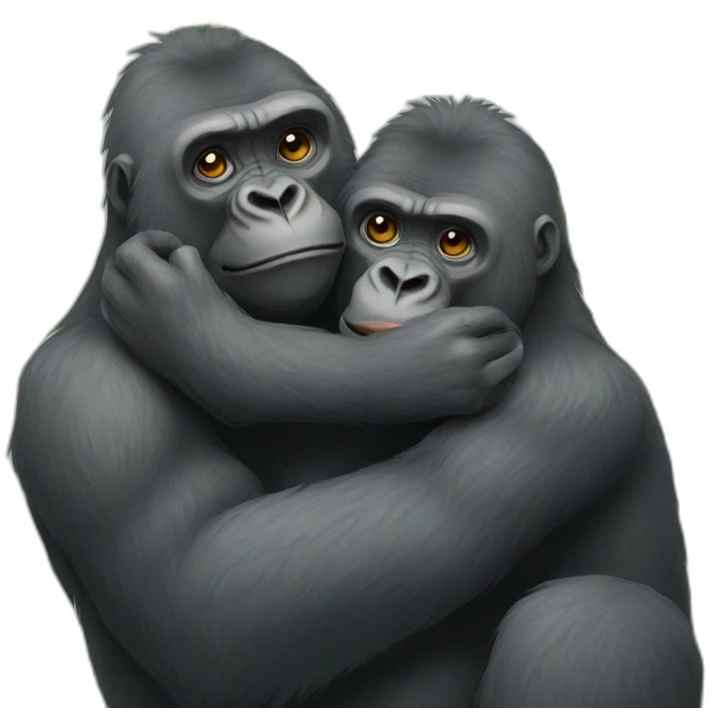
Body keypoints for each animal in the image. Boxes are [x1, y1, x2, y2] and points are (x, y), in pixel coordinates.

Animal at [6, 27, 526, 712]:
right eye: (211, 163)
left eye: (293, 144)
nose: (277, 198)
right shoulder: (86, 398)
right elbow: (211, 610)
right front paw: (421, 365)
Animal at [98, 94, 703, 711]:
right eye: (381, 227)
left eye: (454, 241)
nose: (400, 279)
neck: (547, 315)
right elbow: (206, 600)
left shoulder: (566, 399)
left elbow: (214, 609)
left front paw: (192, 330)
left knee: (592, 619)